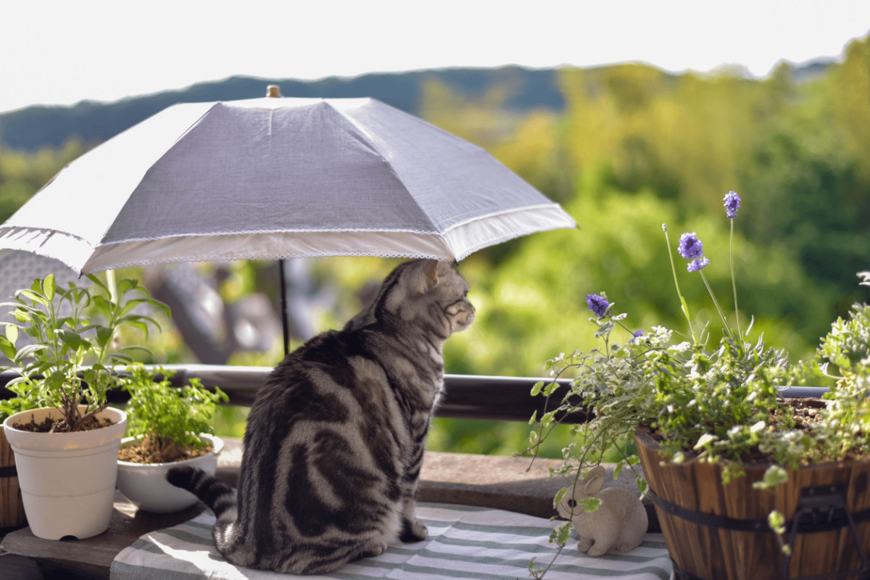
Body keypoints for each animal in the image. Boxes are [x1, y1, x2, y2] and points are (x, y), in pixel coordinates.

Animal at [166, 260, 474, 576]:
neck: (386, 322)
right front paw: (414, 532)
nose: (474, 308)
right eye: (465, 294)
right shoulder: (417, 429)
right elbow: (410, 498)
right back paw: (374, 544)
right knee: (315, 559)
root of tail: (246, 539)